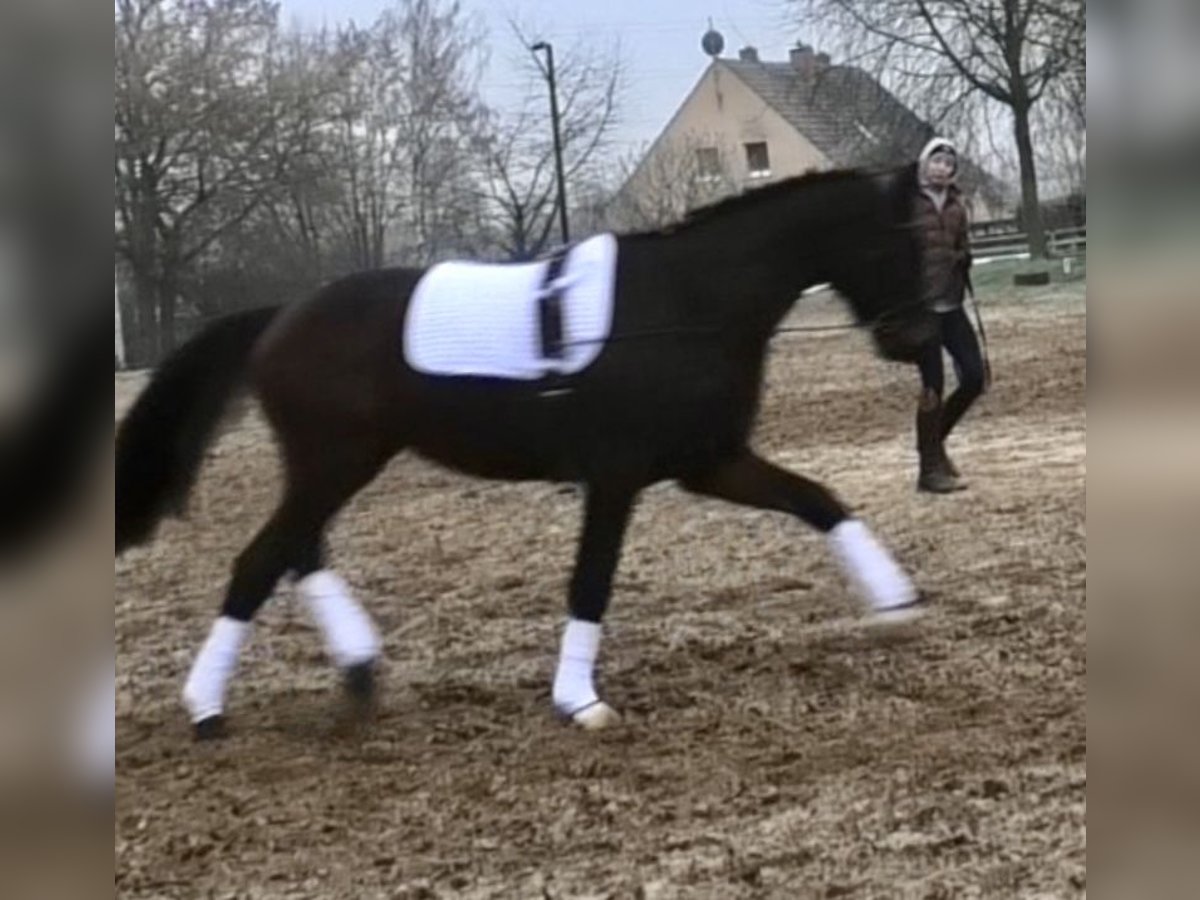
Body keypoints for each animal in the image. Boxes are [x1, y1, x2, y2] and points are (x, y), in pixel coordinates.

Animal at [114, 162, 936, 739]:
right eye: (897, 243)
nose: (917, 336)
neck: (689, 303)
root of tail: (279, 317)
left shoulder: (709, 462)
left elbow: (820, 501)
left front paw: (895, 604)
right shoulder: (617, 476)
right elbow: (591, 582)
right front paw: (580, 702)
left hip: (335, 464)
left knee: (298, 551)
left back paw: (357, 671)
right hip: (335, 462)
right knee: (261, 560)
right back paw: (206, 709)